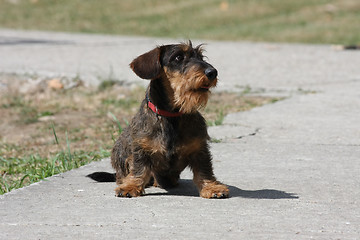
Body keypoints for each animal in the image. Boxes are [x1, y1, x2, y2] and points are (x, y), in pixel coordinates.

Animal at [100, 41, 229, 199]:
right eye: (178, 57)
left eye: (201, 57)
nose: (212, 72)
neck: (171, 115)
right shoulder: (141, 150)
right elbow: (139, 169)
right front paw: (131, 186)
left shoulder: (200, 149)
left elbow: (204, 170)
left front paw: (212, 187)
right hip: (119, 149)